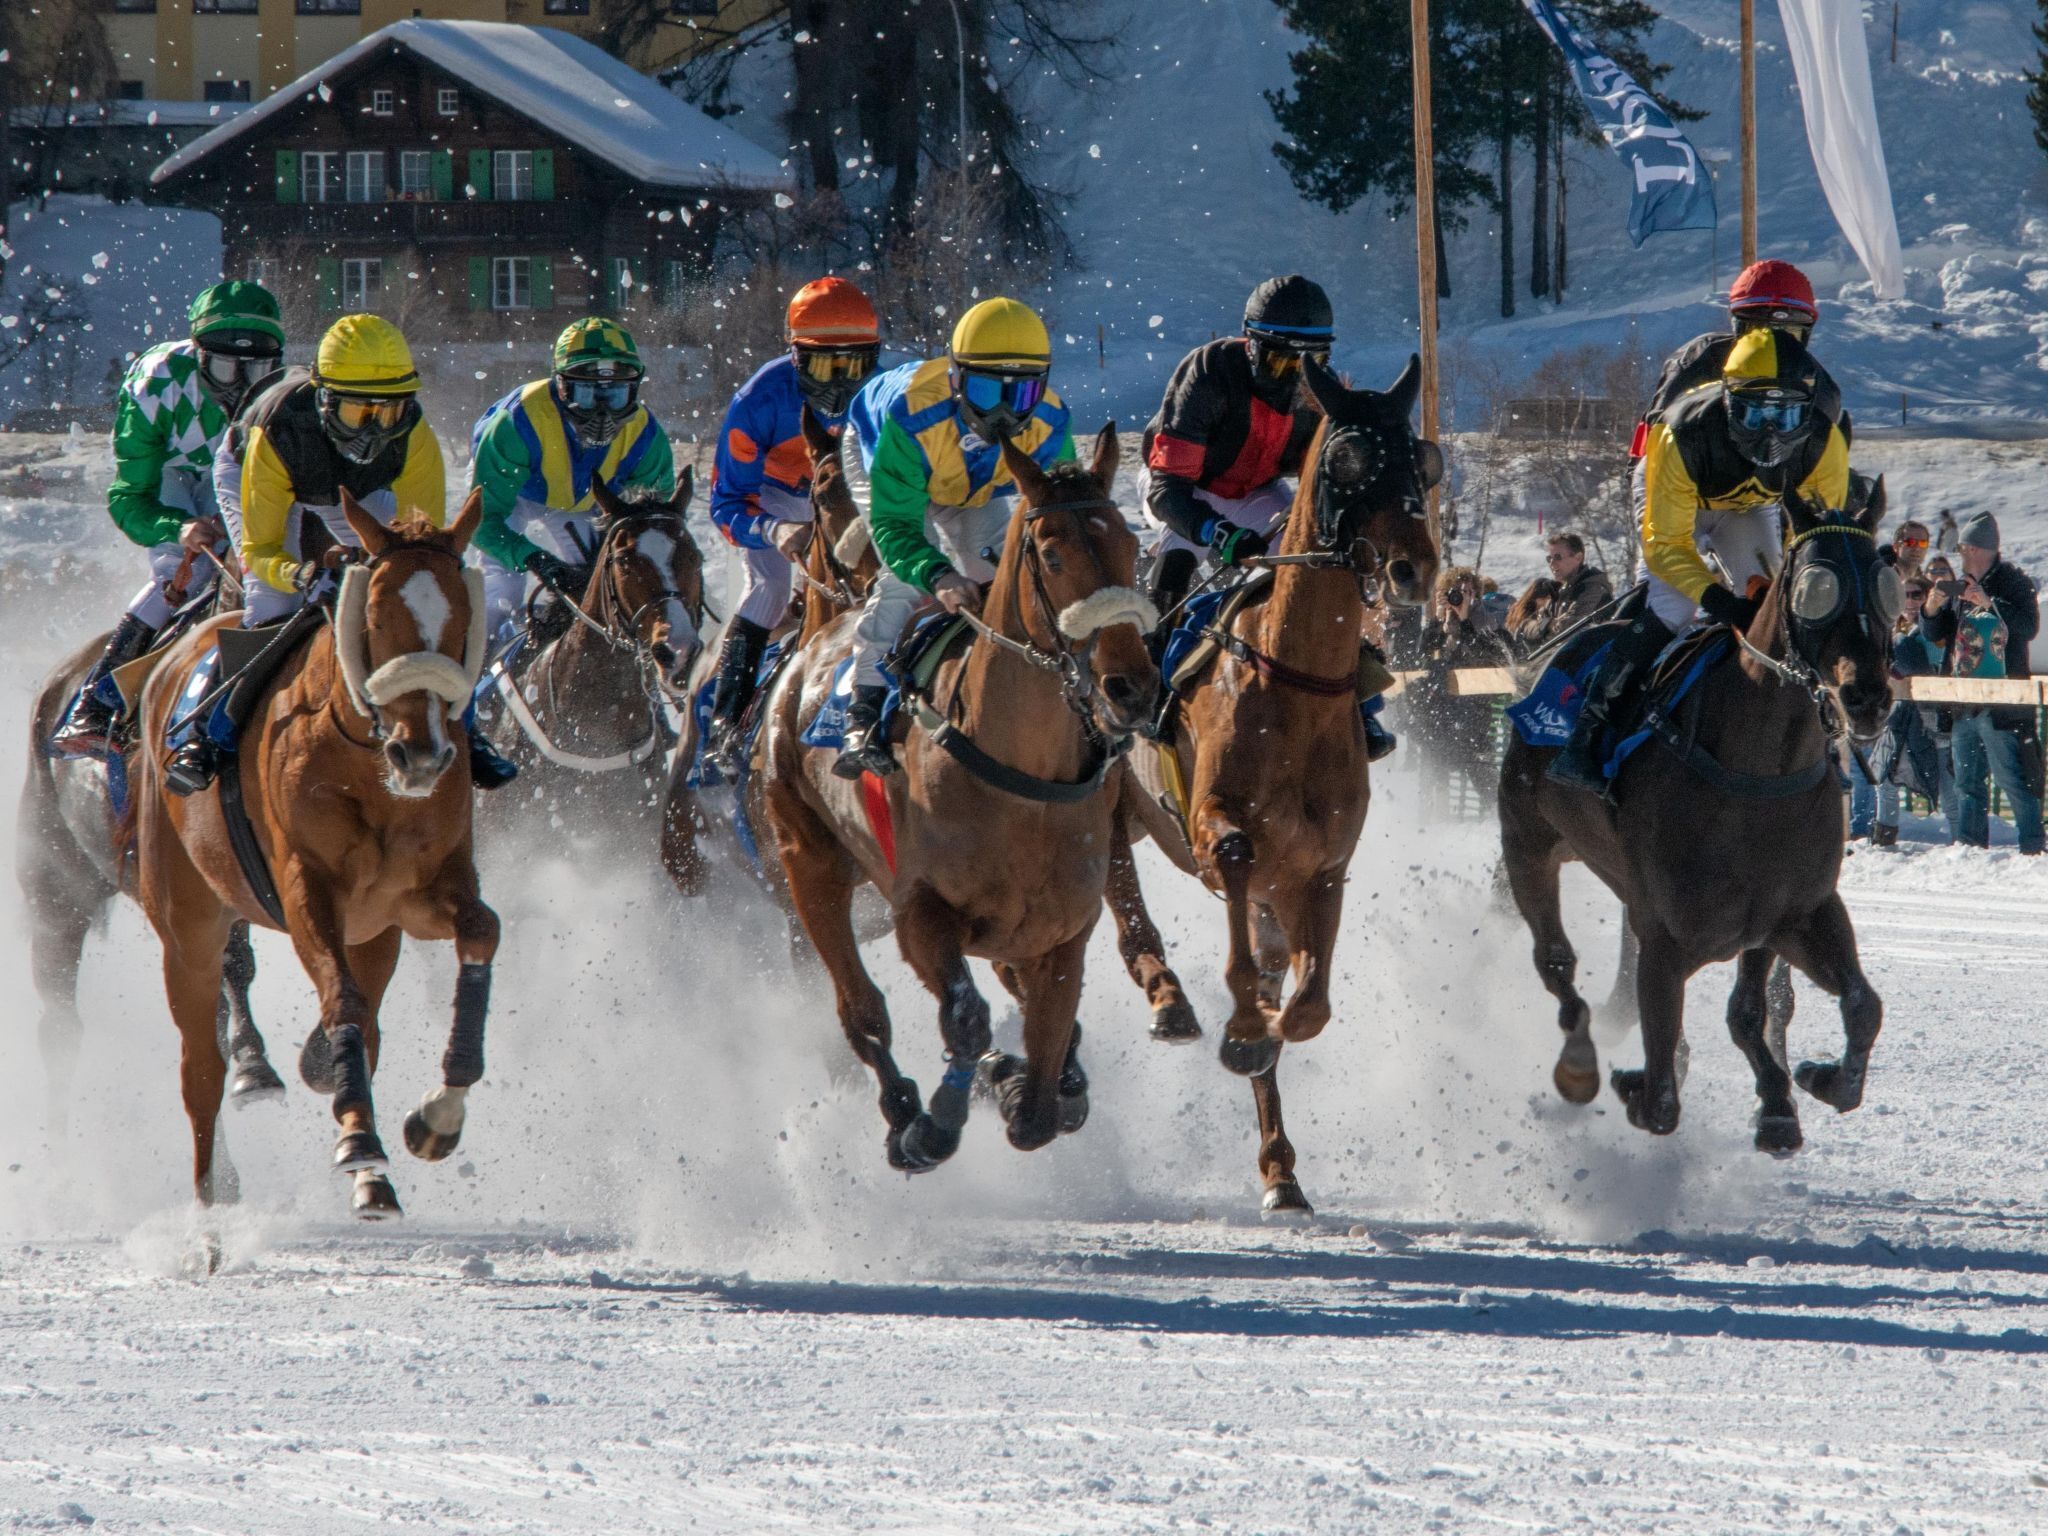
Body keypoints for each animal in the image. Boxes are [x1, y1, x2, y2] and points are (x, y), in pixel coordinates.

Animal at [132, 491, 501, 1224]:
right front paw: (360, 1144)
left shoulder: (414, 895)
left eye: (461, 620)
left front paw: (437, 1116)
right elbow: (343, 1000)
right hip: (187, 922)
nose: (422, 756)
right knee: (200, 1071)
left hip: (372, 931)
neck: (367, 766)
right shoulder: (307, 889)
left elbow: (481, 929)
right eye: (376, 618)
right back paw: (213, 1206)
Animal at [763, 424, 1159, 1169]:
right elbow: (966, 1018)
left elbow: (1044, 1083)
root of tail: (808, 647)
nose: (1131, 688)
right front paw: (939, 1121)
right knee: (861, 1010)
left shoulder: (1065, 928)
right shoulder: (919, 910)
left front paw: (1027, 1082)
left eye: (1130, 543)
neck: (1024, 780)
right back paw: (902, 1107)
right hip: (807, 858)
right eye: (1053, 554)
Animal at [1117, 355, 1441, 1215]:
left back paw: (1280, 1169)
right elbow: (1233, 871)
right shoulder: (1217, 827)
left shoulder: (1322, 867)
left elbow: (1310, 1007)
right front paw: (1240, 1026)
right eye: (1346, 461)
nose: (1415, 568)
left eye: (1422, 460)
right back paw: (1167, 999)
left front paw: (1263, 1031)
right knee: (1113, 889)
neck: (1292, 683)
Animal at [1497, 483, 1897, 1150]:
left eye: (1887, 582)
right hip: (1526, 843)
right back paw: (1582, 1064)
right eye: (1818, 585)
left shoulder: (1792, 913)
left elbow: (1840, 1007)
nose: (1867, 697)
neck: (1758, 768)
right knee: (1555, 963)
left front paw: (1801, 1091)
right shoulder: (1667, 933)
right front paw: (1640, 1084)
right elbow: (1661, 1097)